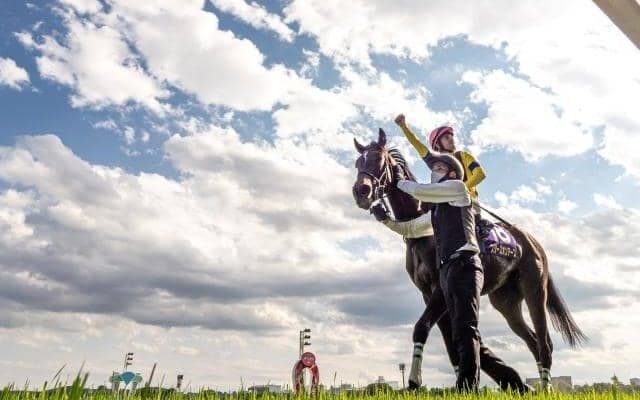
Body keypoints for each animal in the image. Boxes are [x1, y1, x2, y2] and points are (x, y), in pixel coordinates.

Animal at [351, 128, 586, 390]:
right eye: (357, 163)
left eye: (379, 160)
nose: (361, 192)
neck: (422, 233)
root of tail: (533, 242)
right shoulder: (428, 293)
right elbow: (449, 340)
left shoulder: (441, 288)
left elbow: (422, 328)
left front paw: (414, 380)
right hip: (505, 301)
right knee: (532, 341)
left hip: (534, 290)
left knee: (545, 342)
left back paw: (544, 386)